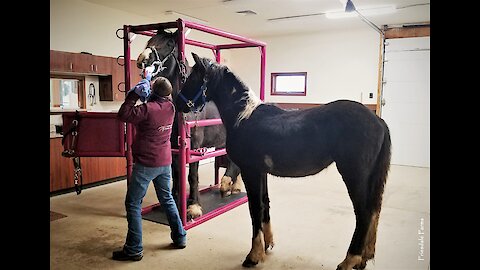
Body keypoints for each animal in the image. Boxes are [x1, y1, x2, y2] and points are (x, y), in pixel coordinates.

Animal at [136, 30, 244, 219]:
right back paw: (232, 186)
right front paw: (175, 201)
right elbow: (176, 173)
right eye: (150, 41)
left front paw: (193, 207)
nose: (143, 59)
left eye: (169, 44)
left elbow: (192, 176)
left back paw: (227, 185)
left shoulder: (194, 147)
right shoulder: (173, 146)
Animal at [176, 53, 390, 270]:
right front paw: (267, 245)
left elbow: (255, 209)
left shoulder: (250, 171)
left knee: (364, 213)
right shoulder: (260, 172)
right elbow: (265, 204)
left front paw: (253, 256)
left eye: (192, 77)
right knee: (374, 211)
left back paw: (349, 260)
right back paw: (363, 259)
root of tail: (378, 122)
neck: (244, 116)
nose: (178, 103)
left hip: (354, 175)